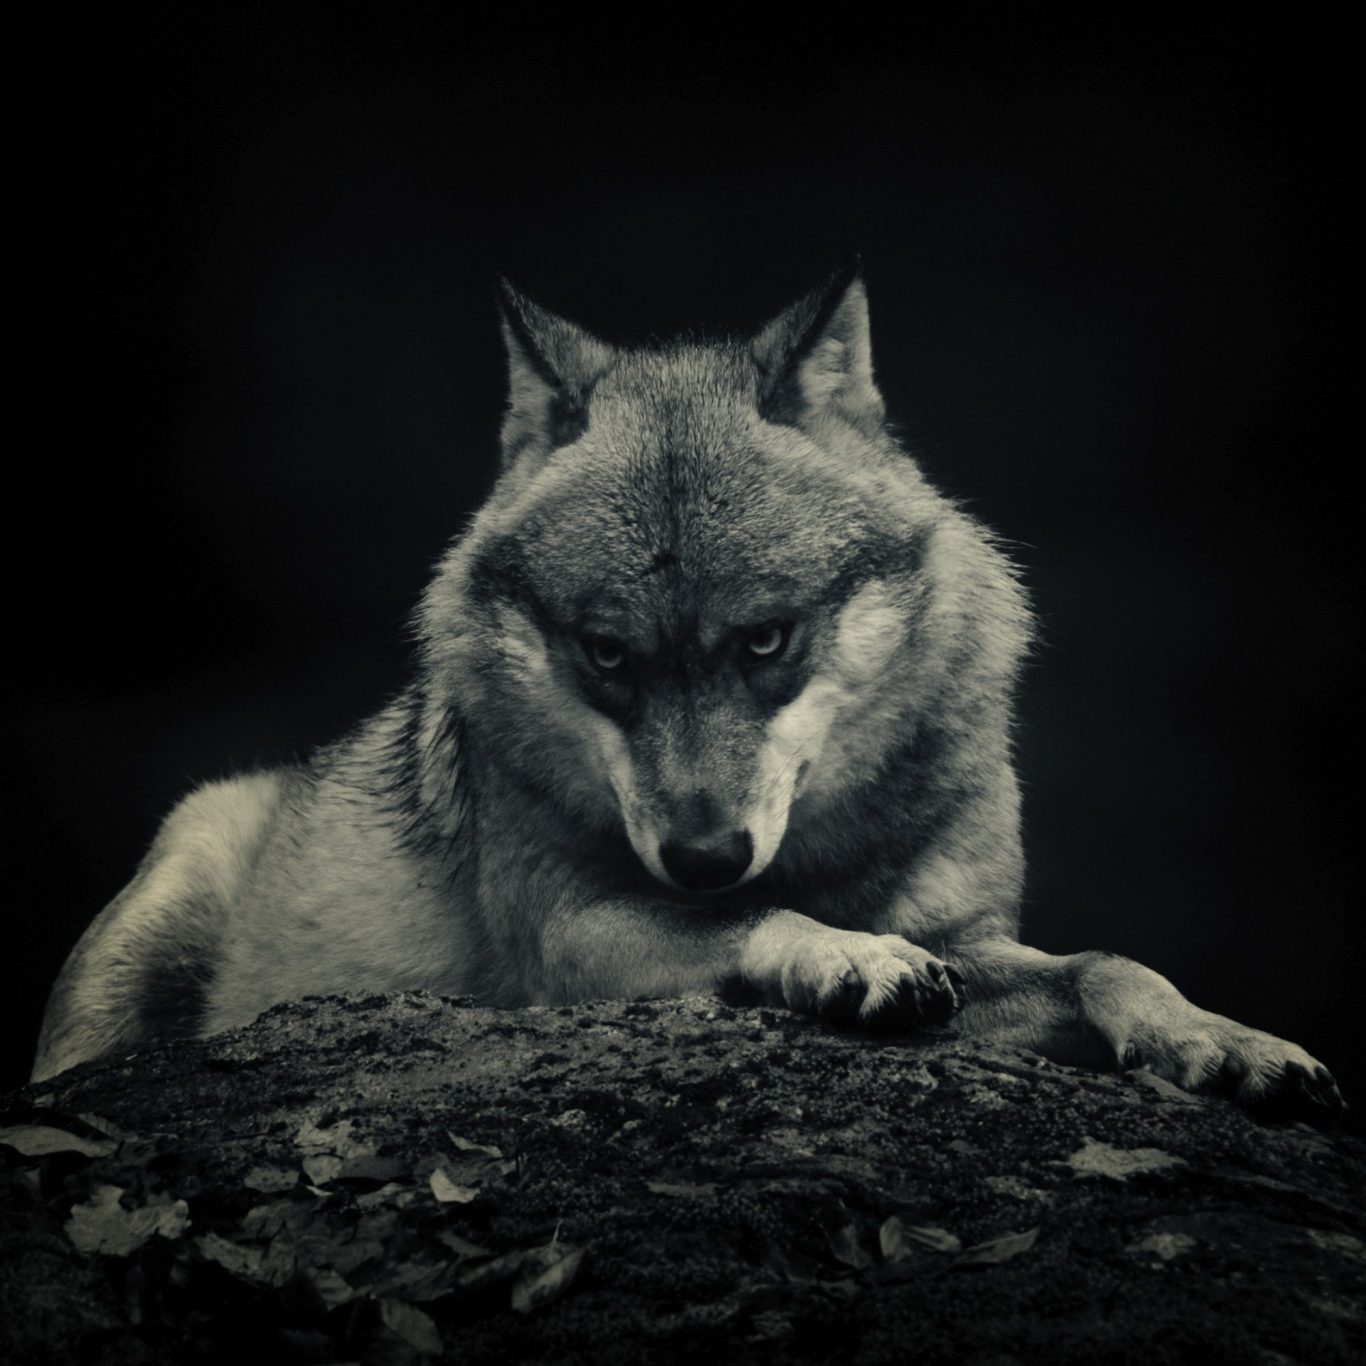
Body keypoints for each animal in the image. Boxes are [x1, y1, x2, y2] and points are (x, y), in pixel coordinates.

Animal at [33, 265, 1343, 1119]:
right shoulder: (573, 939)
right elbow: (758, 924)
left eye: (765, 640)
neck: (821, 850)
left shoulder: (974, 942)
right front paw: (847, 957)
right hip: (165, 889)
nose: (704, 856)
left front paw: (1226, 1039)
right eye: (607, 653)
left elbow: (1112, 964)